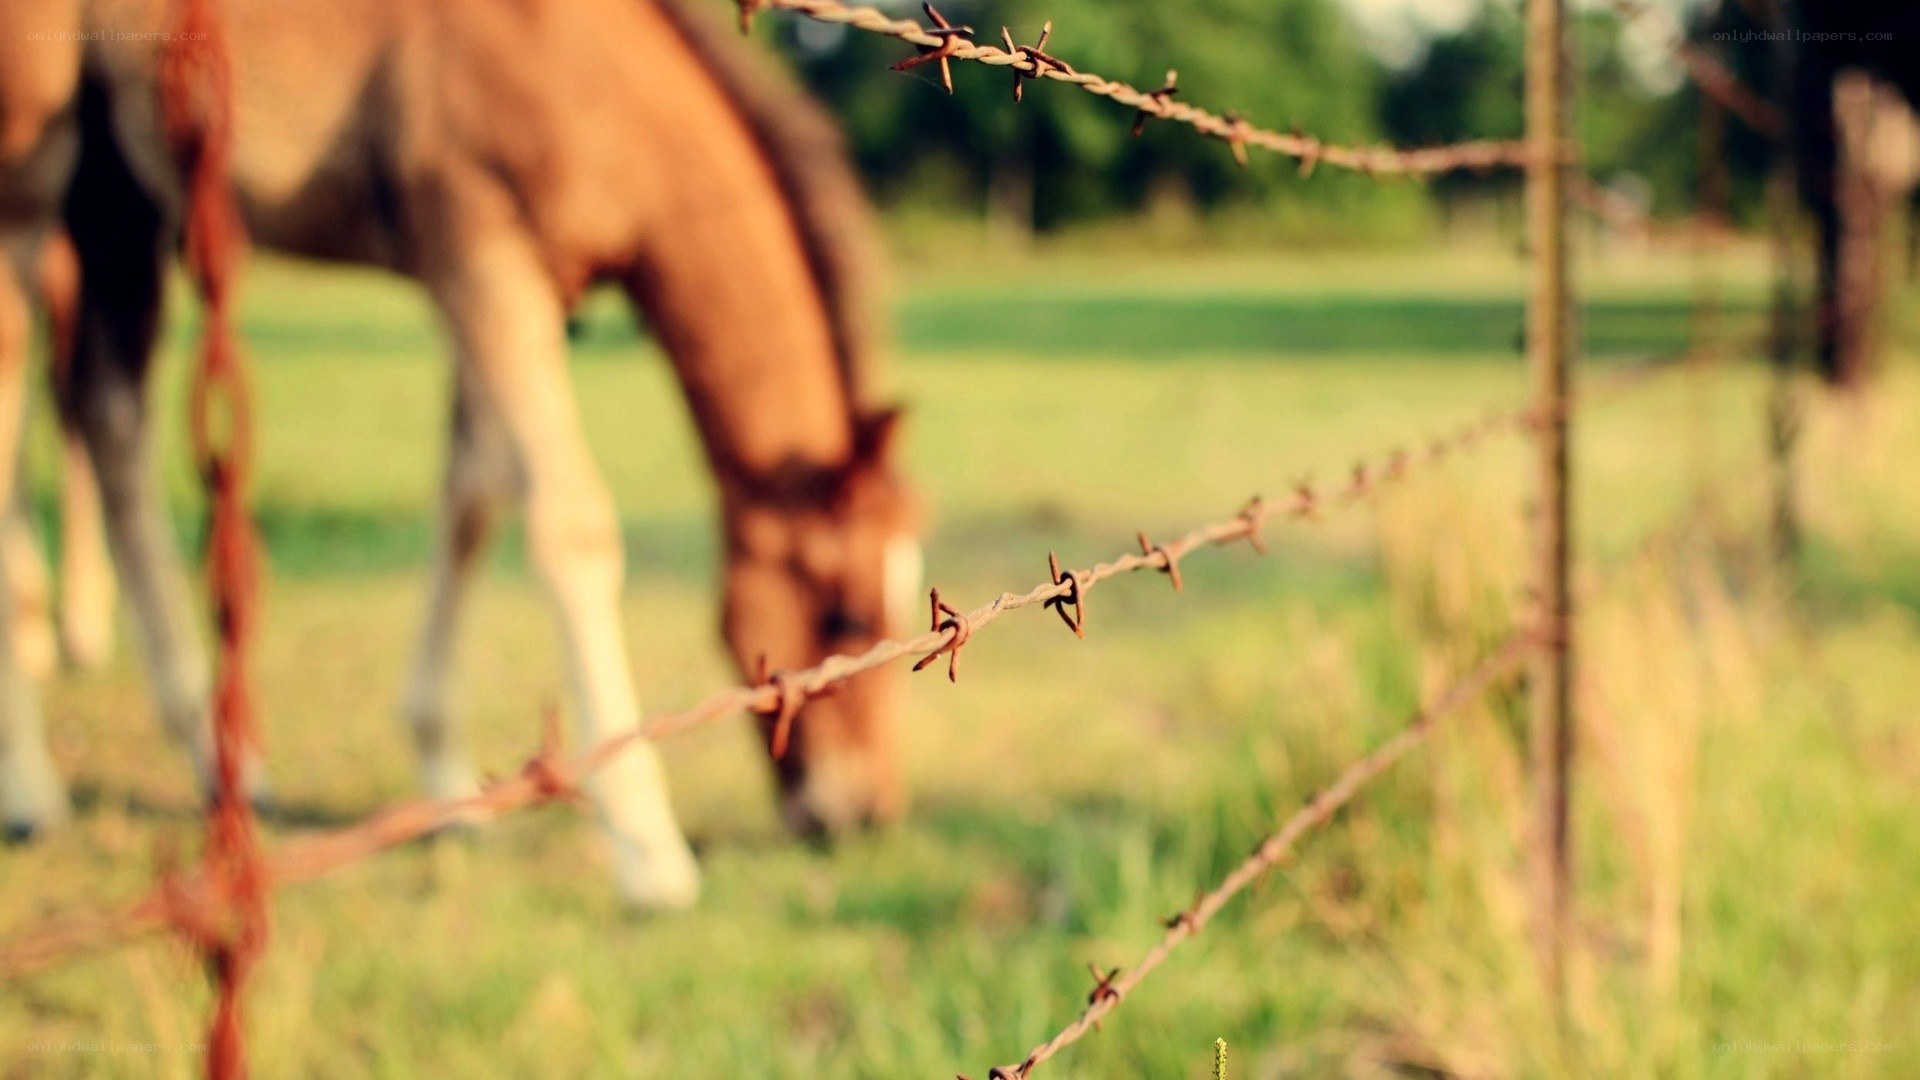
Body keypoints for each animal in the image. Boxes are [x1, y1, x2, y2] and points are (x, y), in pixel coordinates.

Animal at [0, 0, 922, 908]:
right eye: (846, 616)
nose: (865, 814)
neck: (588, 72)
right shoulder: (481, 255)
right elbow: (568, 522)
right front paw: (646, 845)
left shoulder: (521, 290)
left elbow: (475, 496)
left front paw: (448, 789)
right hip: (35, 171)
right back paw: (31, 790)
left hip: (123, 196)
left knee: (110, 420)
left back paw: (220, 761)